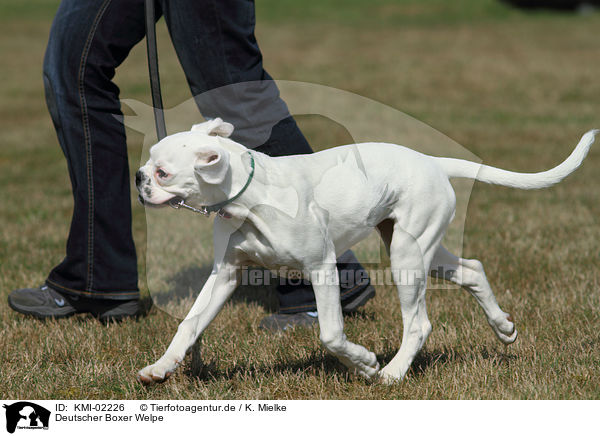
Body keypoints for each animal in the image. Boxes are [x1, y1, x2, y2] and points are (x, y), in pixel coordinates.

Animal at [135, 117, 596, 384]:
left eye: (163, 172)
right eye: (149, 166)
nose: (138, 177)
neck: (250, 199)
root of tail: (432, 162)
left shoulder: (321, 268)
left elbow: (331, 334)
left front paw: (364, 364)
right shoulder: (225, 274)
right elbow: (189, 325)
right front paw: (161, 368)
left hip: (408, 257)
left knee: (419, 323)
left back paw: (391, 374)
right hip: (418, 247)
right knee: (473, 270)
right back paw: (503, 328)